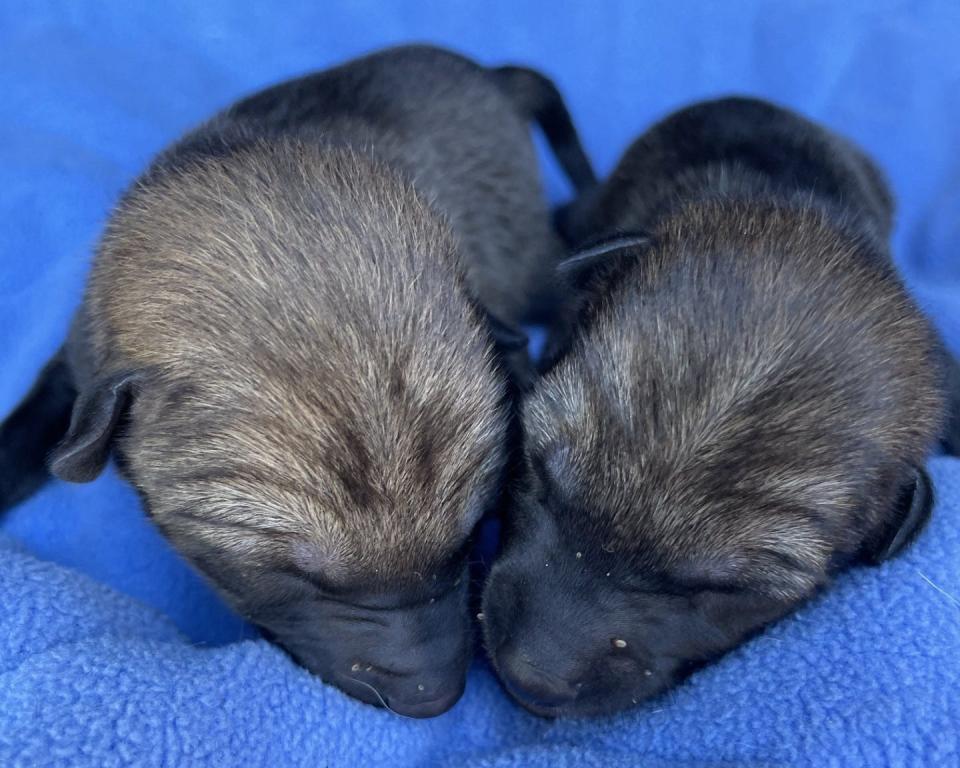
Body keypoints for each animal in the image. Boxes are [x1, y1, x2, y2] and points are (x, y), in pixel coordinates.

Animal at [0, 45, 592, 716]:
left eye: (471, 539)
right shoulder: (81, 362)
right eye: (297, 577)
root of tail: (491, 78)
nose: (434, 699)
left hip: (526, 253)